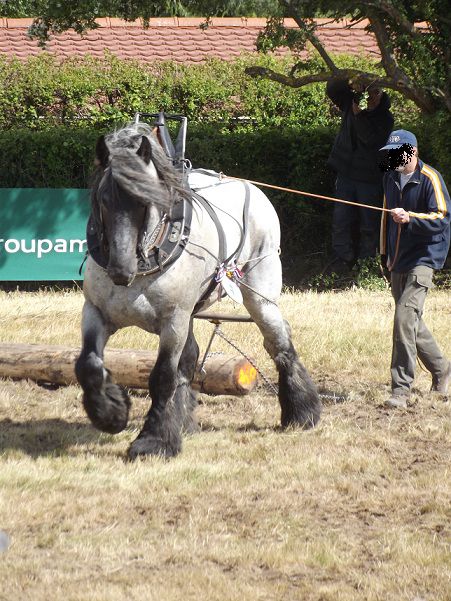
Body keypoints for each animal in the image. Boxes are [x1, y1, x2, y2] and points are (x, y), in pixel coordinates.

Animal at [75, 122, 321, 459]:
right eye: (103, 199)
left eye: (145, 201)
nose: (120, 271)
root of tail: (252, 189)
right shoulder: (96, 312)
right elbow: (88, 364)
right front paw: (111, 414)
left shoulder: (173, 321)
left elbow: (163, 377)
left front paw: (153, 440)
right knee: (191, 358)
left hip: (260, 298)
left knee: (279, 341)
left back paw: (302, 412)